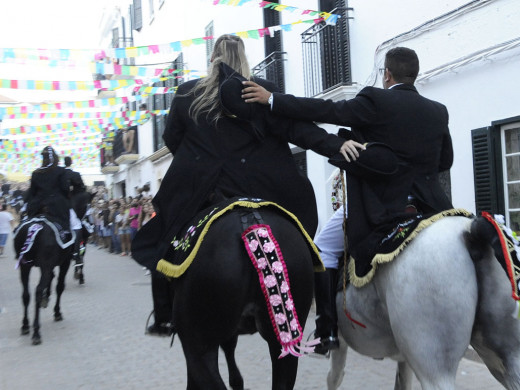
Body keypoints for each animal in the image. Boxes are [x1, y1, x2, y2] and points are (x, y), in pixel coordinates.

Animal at [13, 218, 74, 346]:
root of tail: (35, 227)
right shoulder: (65, 262)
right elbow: (60, 287)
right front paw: (57, 312)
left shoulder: (46, 266)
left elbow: (52, 278)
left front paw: (46, 298)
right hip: (45, 265)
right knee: (38, 291)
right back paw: (36, 333)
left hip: (24, 267)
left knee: (26, 294)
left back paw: (25, 325)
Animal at [328, 216, 520, 390]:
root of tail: (471, 232)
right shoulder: (403, 358)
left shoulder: (340, 344)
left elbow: (334, 377)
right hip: (508, 357)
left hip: (434, 370)